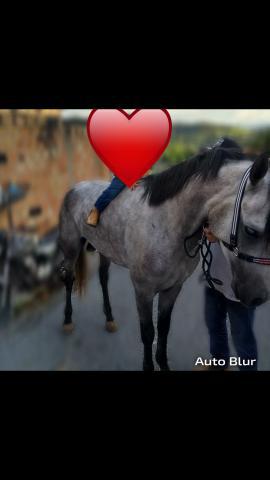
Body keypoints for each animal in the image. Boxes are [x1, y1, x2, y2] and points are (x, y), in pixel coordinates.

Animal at [58, 146, 270, 372]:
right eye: (251, 230)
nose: (258, 297)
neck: (168, 223)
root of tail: (74, 188)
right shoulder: (143, 291)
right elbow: (148, 332)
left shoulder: (173, 288)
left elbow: (164, 328)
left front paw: (163, 363)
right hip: (71, 248)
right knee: (69, 278)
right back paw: (68, 321)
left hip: (104, 249)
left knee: (103, 279)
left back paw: (109, 319)